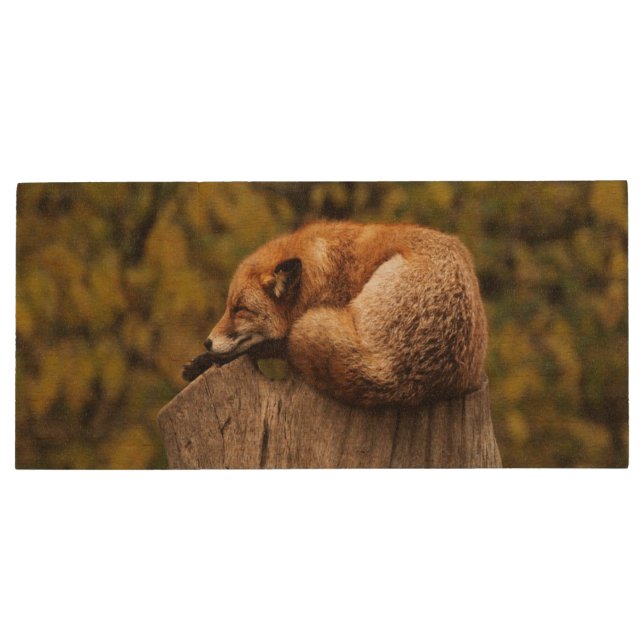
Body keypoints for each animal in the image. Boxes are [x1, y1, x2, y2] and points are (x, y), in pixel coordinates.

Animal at [182, 220, 488, 407]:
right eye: (228, 307)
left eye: (241, 310)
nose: (207, 342)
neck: (324, 274)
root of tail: (393, 376)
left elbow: (263, 348)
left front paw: (206, 361)